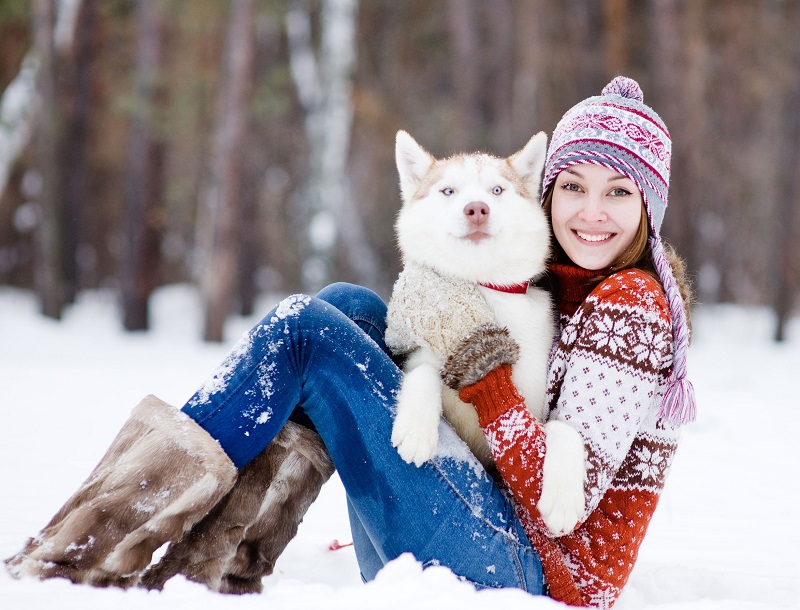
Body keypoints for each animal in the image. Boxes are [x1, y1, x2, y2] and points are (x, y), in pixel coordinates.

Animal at [388, 131, 556, 468]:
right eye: (448, 191)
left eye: (497, 190)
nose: (477, 209)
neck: (483, 288)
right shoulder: (418, 356)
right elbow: (424, 370)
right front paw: (416, 430)